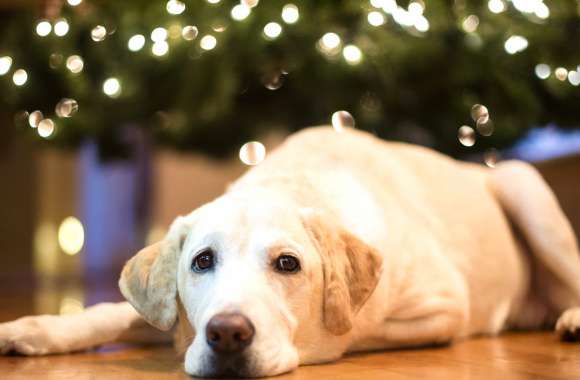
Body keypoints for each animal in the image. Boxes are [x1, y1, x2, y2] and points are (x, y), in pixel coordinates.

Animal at [1, 125, 580, 378]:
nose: (226, 334)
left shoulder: (442, 307)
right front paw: (32, 330)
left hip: (523, 184)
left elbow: (352, 331)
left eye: (288, 264)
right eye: (202, 261)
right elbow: (111, 312)